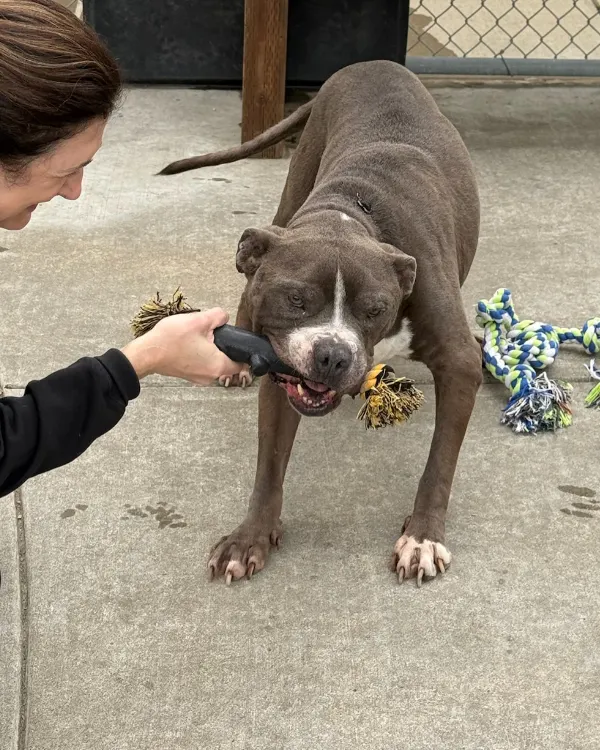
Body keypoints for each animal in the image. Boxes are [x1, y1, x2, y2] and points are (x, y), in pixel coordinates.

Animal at [161, 60, 482, 588]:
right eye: (295, 300)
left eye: (375, 309)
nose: (333, 356)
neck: (350, 217)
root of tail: (369, 64)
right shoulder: (281, 370)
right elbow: (269, 465)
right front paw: (250, 537)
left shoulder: (458, 364)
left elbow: (439, 464)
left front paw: (422, 537)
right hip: (289, 195)